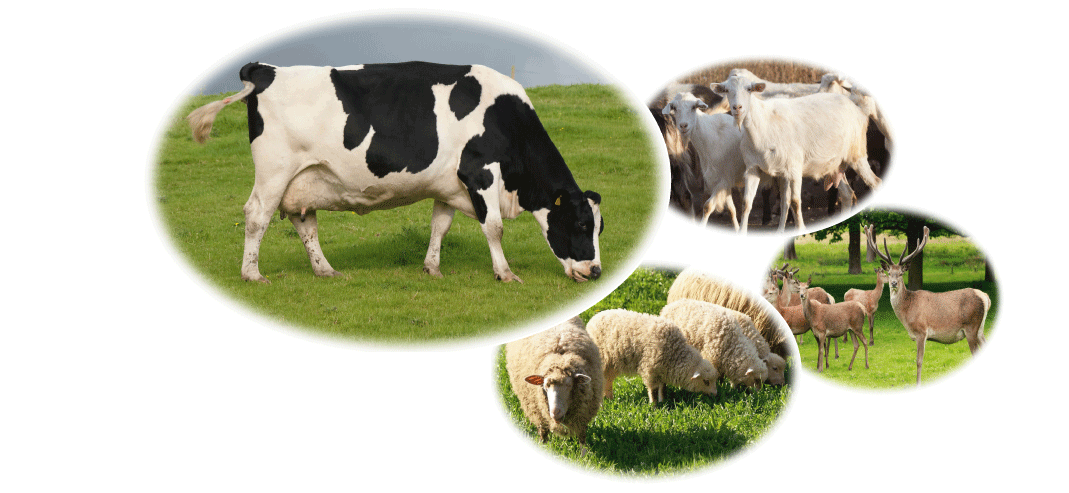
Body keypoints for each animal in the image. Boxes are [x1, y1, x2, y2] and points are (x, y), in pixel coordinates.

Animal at [187, 61, 604, 283]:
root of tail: (265, 70)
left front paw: (432, 268)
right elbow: (494, 227)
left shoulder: (449, 185)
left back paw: (326, 271)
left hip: (304, 178)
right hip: (275, 170)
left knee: (304, 222)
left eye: (600, 228)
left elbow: (440, 225)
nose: (596, 271)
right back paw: (252, 274)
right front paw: (505, 273)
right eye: (581, 224)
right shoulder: (480, 171)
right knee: (257, 215)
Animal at [505, 316, 603, 444]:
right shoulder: (539, 413)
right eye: (545, 386)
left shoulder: (583, 414)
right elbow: (543, 432)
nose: (555, 413)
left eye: (569, 386)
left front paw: (584, 450)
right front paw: (543, 445)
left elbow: (582, 437)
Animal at [585, 309, 718, 404]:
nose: (715, 395)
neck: (674, 353)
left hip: (612, 364)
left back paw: (609, 398)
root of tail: (593, 319)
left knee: (608, 380)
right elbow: (653, 390)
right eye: (706, 381)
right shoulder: (650, 369)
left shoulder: (661, 371)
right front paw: (654, 405)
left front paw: (662, 401)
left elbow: (662, 387)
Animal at [712, 73, 882, 233]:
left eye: (749, 89)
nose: (737, 108)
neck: (763, 125)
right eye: (726, 90)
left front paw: (801, 229)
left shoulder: (794, 168)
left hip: (857, 154)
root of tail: (858, 109)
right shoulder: (754, 168)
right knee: (847, 194)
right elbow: (749, 203)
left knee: (875, 183)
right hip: (834, 164)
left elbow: (794, 202)